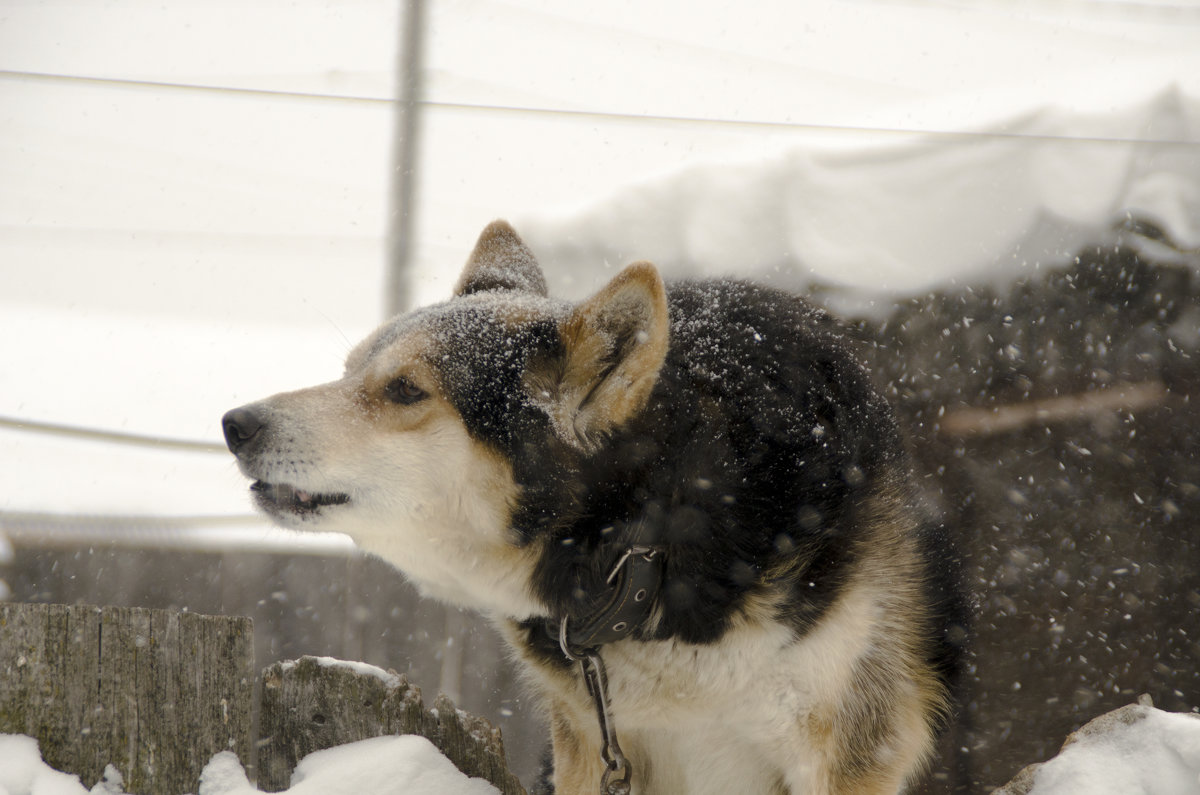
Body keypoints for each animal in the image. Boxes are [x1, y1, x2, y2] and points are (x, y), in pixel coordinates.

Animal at [223, 220, 964, 795]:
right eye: (349, 370)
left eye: (405, 389)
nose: (234, 424)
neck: (650, 533)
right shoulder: (591, 739)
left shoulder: (854, 751)